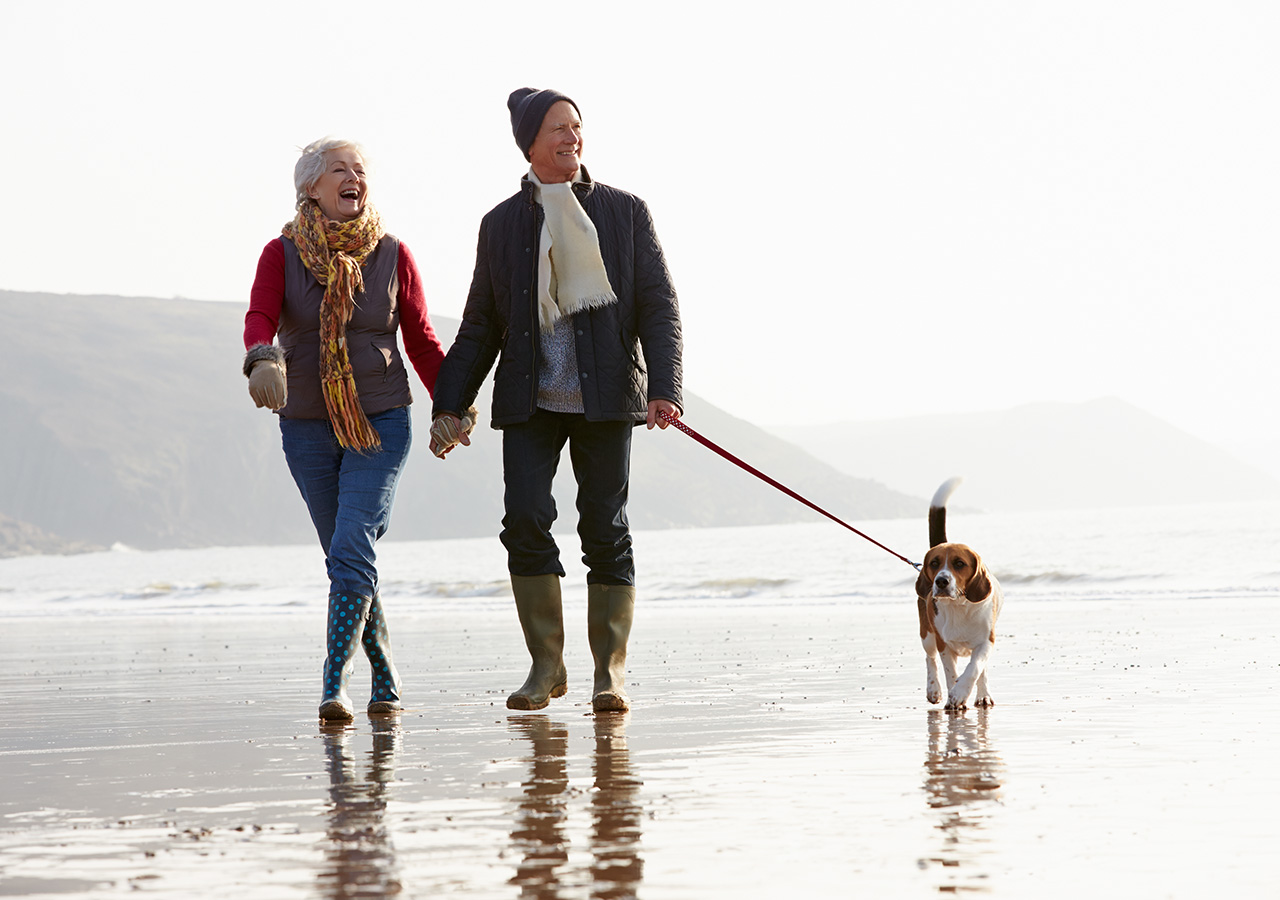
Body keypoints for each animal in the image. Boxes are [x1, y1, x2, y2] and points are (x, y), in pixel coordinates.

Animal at [916, 478, 1003, 711]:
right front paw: (954, 696)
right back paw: (933, 689)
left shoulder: (985, 642)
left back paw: (983, 696)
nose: (941, 581)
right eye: (934, 563)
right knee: (929, 659)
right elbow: (951, 673)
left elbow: (975, 668)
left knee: (981, 672)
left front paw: (962, 692)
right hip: (927, 635)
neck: (959, 607)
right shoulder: (943, 645)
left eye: (959, 564)